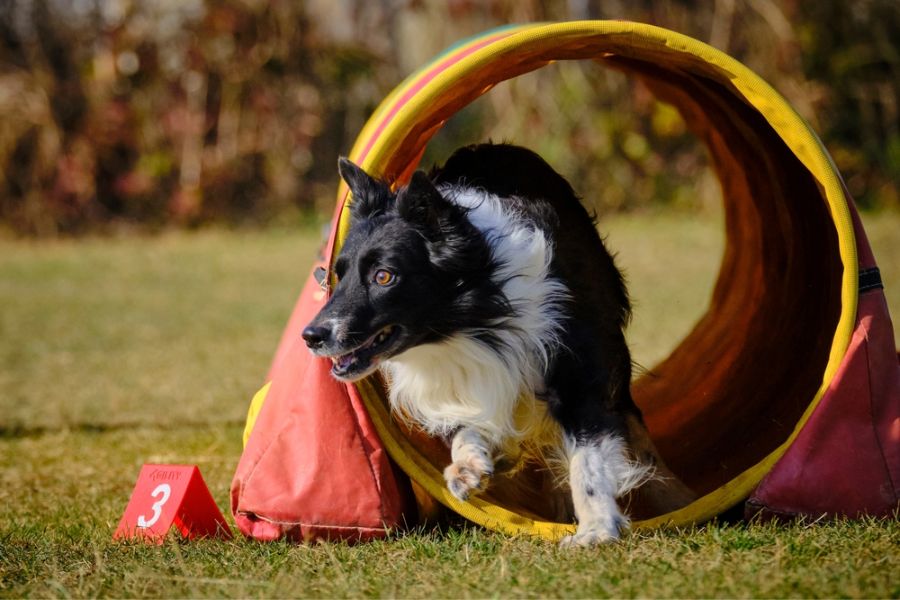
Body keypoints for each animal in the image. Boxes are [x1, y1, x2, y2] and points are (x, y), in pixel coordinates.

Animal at [304, 143, 696, 548]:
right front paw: (468, 465)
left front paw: (596, 529)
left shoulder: (581, 368)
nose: (311, 336)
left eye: (384, 276)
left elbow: (588, 459)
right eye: (339, 274)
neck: (474, 314)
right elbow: (470, 417)